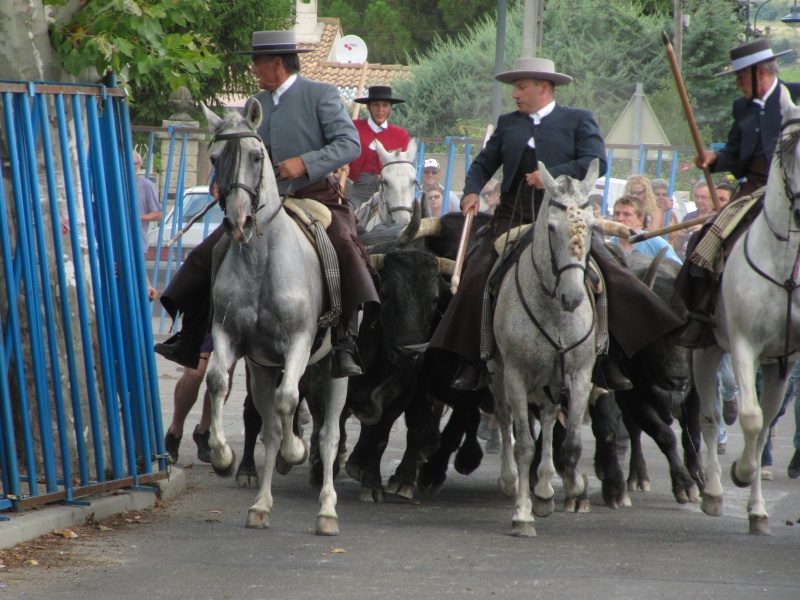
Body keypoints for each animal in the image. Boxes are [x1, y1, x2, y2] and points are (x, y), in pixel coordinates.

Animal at [200, 101, 346, 536]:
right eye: (214, 158)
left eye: (255, 155)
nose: (239, 223)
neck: (260, 260)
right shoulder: (228, 336)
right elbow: (218, 382)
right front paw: (222, 456)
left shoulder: (298, 342)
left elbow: (289, 401)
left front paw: (295, 452)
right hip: (263, 370)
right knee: (268, 426)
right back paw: (261, 505)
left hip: (336, 372)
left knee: (329, 435)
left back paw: (327, 511)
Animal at [490, 159, 596, 540]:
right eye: (551, 228)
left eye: (591, 225)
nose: (573, 296)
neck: (554, 312)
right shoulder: (516, 376)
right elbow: (523, 444)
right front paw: (522, 514)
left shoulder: (579, 376)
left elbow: (571, 442)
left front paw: (572, 486)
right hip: (498, 376)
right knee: (505, 418)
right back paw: (511, 481)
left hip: (553, 380)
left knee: (550, 420)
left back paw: (547, 487)